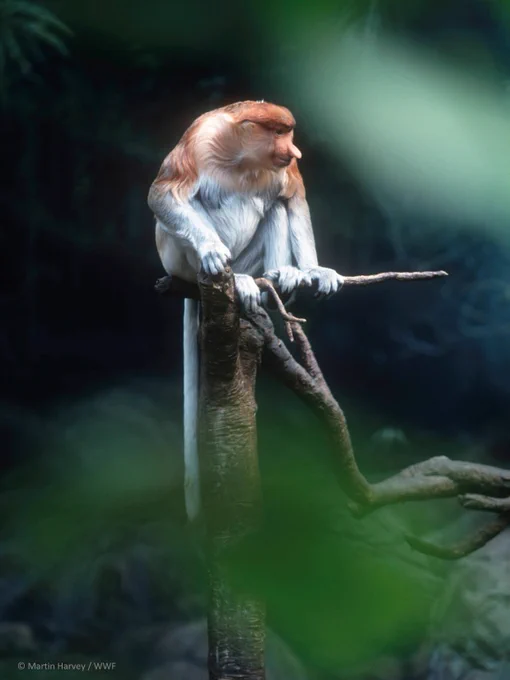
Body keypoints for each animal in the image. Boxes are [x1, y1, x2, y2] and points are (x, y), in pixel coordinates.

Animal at [148, 100, 344, 521]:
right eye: (279, 133)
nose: (296, 151)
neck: (241, 157)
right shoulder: (199, 141)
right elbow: (165, 194)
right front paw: (211, 250)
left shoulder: (284, 171)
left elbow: (293, 199)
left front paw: (315, 271)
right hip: (176, 258)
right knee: (194, 207)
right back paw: (234, 277)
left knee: (275, 208)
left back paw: (276, 279)